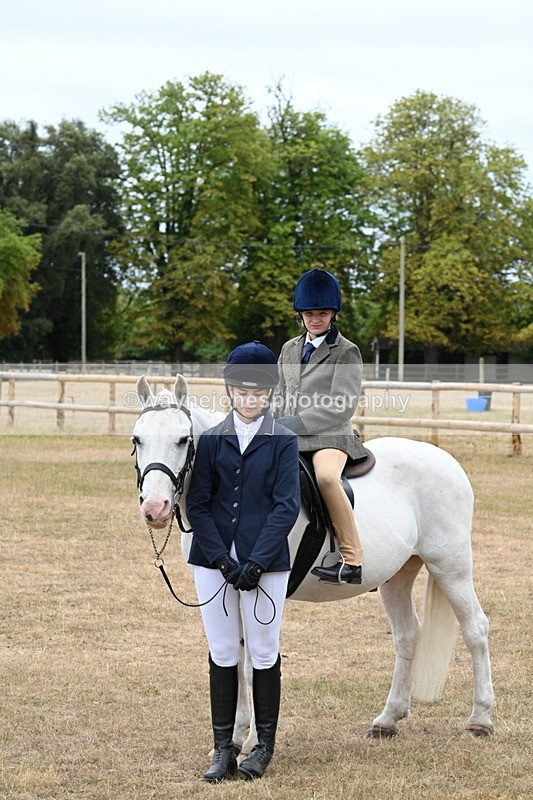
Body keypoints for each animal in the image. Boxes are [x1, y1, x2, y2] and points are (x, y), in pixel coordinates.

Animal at [131, 374, 495, 751]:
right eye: (137, 439)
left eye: (183, 439)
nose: (154, 508)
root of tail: (447, 461)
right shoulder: (226, 586)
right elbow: (238, 657)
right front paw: (234, 738)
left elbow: (252, 661)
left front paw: (249, 742)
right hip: (398, 576)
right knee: (407, 635)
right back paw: (387, 720)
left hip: (450, 567)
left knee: (475, 629)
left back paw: (480, 720)